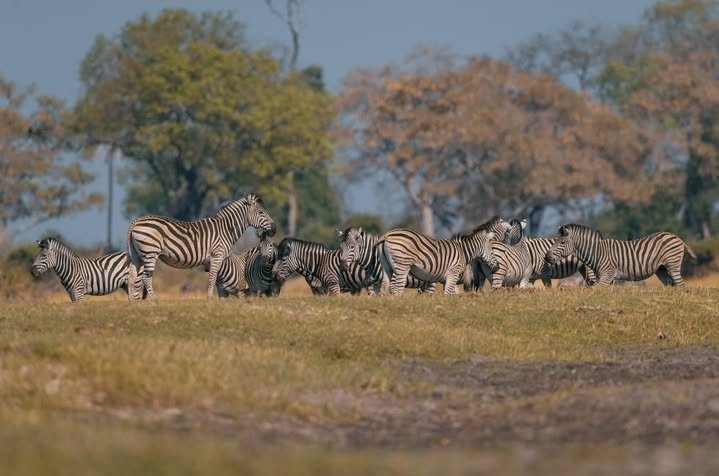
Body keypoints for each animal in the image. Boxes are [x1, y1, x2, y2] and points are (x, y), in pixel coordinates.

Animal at [126, 192, 276, 298]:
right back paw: (154, 300)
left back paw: (133, 302)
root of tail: (137, 221)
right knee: (146, 278)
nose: (274, 229)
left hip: (136, 256)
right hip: (150, 253)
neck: (226, 229)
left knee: (132, 277)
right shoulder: (217, 256)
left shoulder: (210, 262)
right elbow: (212, 279)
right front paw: (210, 299)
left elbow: (217, 280)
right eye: (261, 212)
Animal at [544, 224, 696, 286]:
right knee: (672, 285)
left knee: (681, 285)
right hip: (661, 269)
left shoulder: (607, 275)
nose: (546, 257)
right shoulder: (607, 278)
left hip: (672, 264)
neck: (597, 252)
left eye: (562, 242)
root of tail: (675, 236)